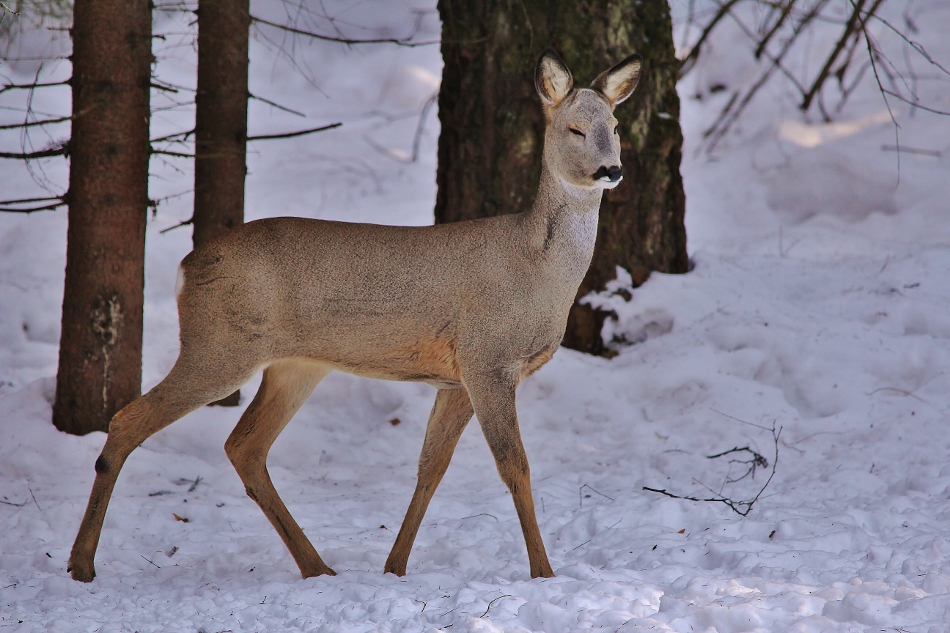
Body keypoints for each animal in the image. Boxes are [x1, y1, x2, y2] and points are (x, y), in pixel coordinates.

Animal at [70, 50, 644, 584]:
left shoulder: (456, 378)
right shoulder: (488, 358)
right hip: (219, 345)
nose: (611, 170)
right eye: (574, 128)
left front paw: (395, 567)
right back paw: (81, 564)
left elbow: (430, 468)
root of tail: (186, 269)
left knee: (244, 445)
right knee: (128, 421)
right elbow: (516, 467)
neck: (538, 271)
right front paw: (544, 573)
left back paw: (317, 567)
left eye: (616, 128)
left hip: (294, 365)